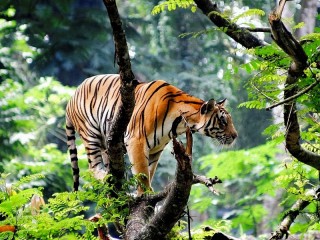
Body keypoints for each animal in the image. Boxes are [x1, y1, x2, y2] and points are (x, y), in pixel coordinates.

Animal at [65, 74, 238, 194]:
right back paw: (108, 179)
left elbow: (149, 170)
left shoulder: (156, 148)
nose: (235, 136)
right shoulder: (137, 140)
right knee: (92, 168)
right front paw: (145, 193)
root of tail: (71, 96)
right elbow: (142, 172)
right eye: (223, 121)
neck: (181, 123)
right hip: (90, 135)